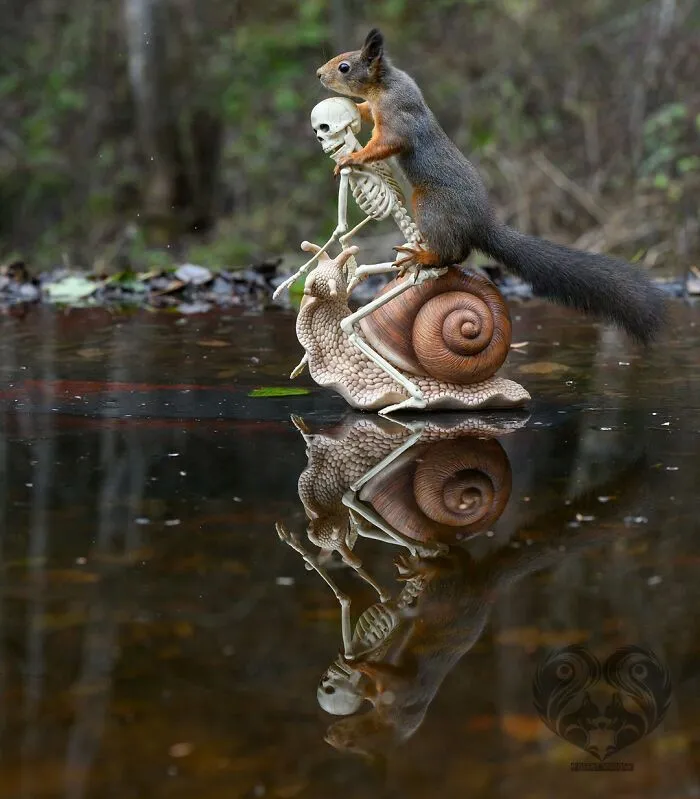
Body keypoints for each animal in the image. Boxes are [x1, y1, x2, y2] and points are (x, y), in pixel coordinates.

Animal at [316, 29, 665, 345]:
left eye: (345, 66)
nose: (319, 74)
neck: (385, 84)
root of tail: (480, 224)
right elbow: (366, 114)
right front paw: (355, 112)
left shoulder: (398, 118)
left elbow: (385, 143)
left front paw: (351, 158)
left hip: (430, 204)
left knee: (452, 253)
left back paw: (424, 257)